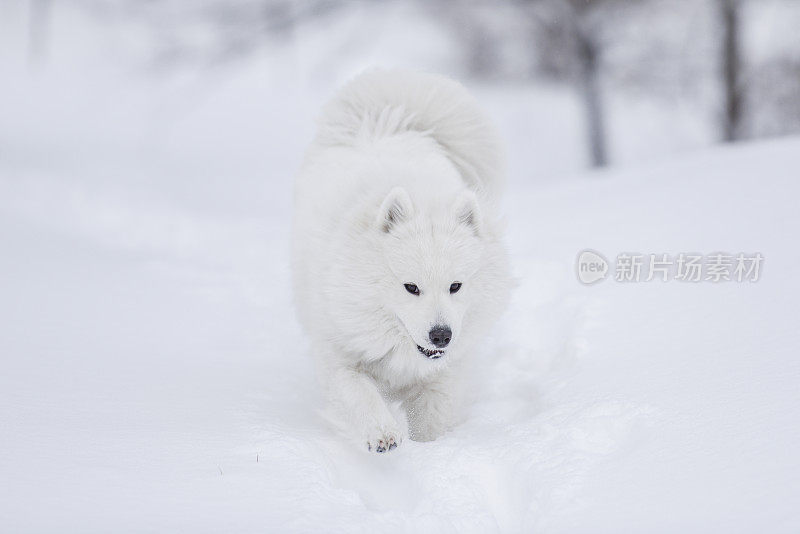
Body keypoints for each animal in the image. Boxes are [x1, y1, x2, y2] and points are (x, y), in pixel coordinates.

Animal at [290, 68, 510, 452]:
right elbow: (359, 393)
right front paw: (382, 434)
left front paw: (430, 450)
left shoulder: (444, 374)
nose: (441, 336)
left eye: (456, 286)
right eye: (411, 287)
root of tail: (391, 121)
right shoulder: (339, 355)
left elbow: (431, 418)